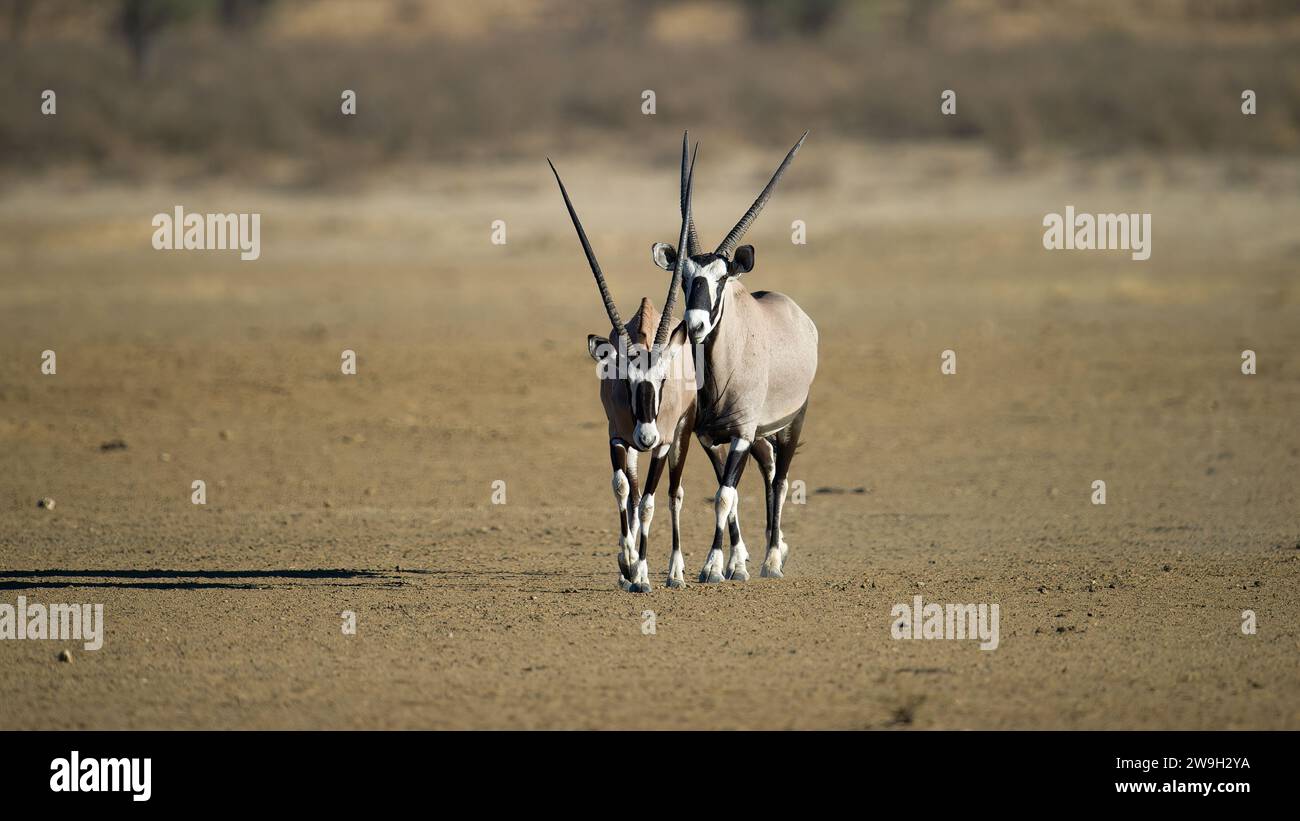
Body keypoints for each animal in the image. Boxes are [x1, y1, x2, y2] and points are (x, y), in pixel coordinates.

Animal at [650, 133, 821, 584]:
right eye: (685, 277)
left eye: (722, 278)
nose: (693, 324)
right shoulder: (712, 437)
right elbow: (726, 497)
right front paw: (732, 562)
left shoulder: (741, 433)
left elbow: (725, 495)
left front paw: (715, 567)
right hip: (761, 435)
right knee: (767, 472)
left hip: (789, 424)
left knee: (779, 481)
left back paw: (773, 560)